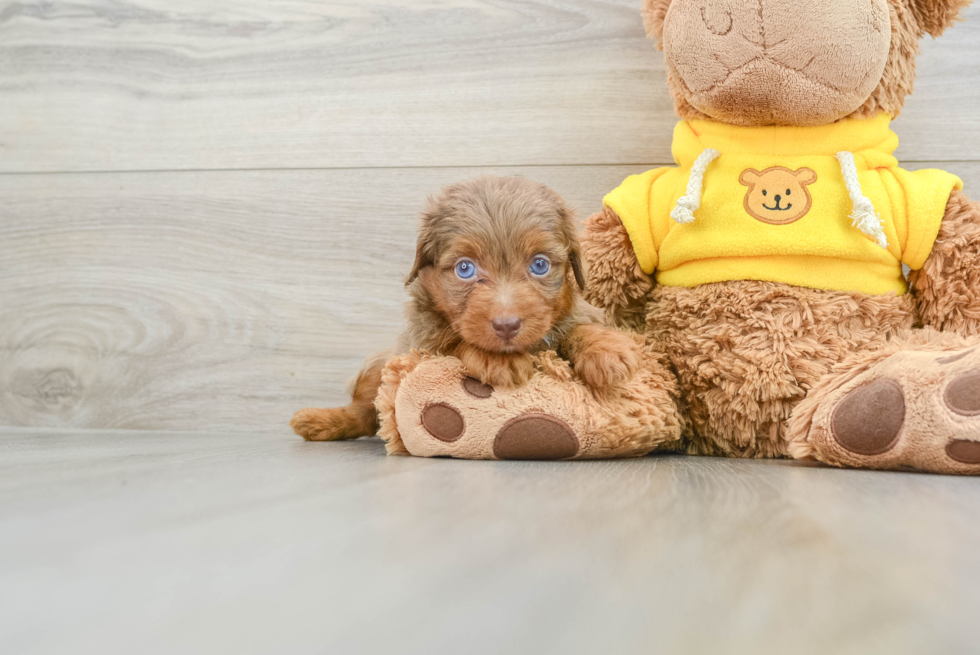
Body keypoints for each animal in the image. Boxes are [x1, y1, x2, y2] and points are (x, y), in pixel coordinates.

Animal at [290, 176, 644, 440]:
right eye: (465, 269)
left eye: (540, 265)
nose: (506, 325)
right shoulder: (423, 342)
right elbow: (456, 341)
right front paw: (496, 358)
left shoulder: (571, 312)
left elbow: (576, 326)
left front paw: (606, 348)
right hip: (377, 366)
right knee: (365, 412)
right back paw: (320, 421)